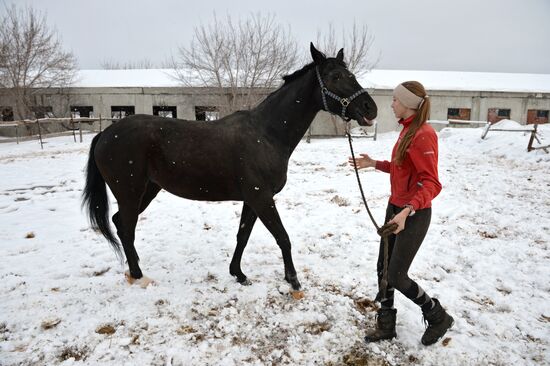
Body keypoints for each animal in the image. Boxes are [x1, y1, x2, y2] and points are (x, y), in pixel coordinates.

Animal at [83, 43, 380, 294]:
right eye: (335, 77)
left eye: (350, 73)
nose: (370, 108)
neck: (267, 133)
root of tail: (106, 133)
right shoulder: (262, 198)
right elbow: (282, 237)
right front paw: (293, 281)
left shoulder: (252, 199)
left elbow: (243, 236)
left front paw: (238, 274)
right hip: (130, 192)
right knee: (126, 227)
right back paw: (138, 274)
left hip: (148, 190)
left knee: (120, 223)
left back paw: (135, 268)